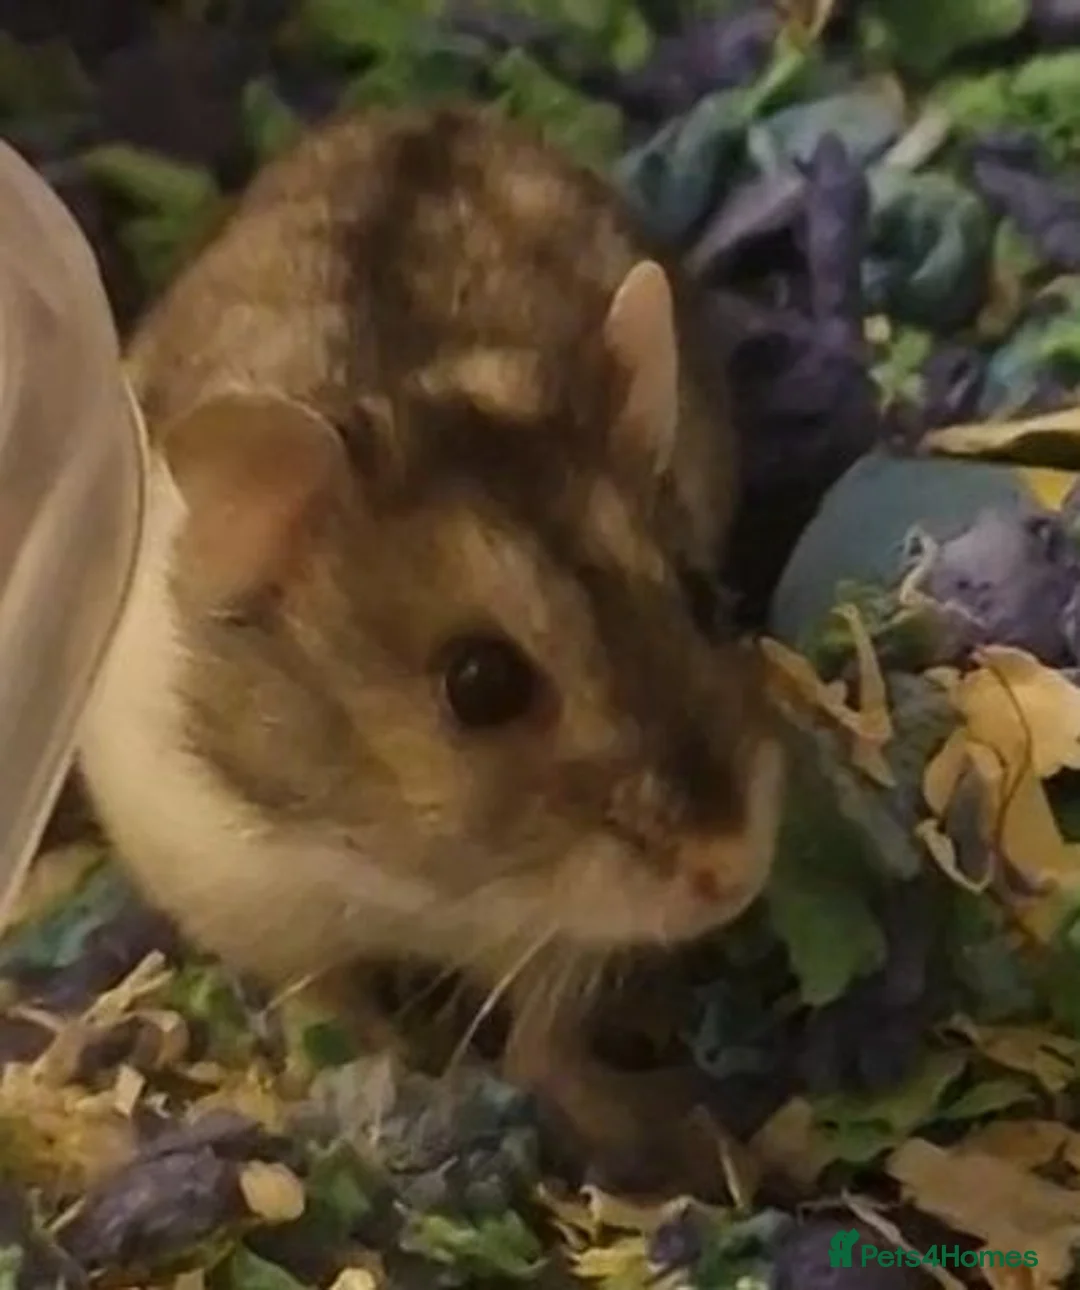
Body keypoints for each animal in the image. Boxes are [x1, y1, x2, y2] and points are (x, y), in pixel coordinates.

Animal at [76, 101, 784, 1180]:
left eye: (706, 601)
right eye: (480, 683)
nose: (733, 873)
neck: (413, 879)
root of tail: (420, 112)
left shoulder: (560, 935)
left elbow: (545, 1034)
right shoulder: (239, 883)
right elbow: (324, 1001)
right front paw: (384, 1079)